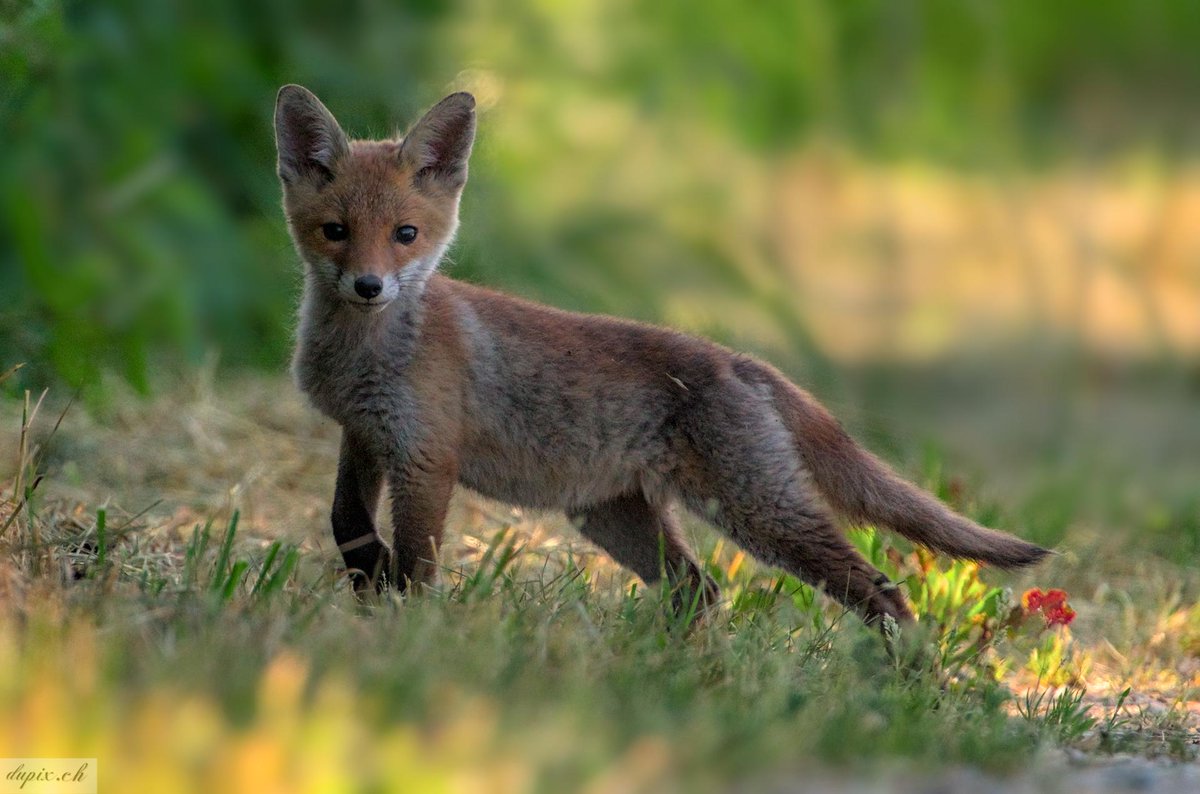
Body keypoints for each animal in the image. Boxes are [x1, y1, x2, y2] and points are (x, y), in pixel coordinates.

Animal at [276, 85, 1046, 633]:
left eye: (405, 234)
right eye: (336, 231)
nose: (369, 286)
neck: (367, 357)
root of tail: (741, 362)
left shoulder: (426, 457)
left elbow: (417, 565)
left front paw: (404, 628)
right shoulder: (366, 435)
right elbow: (346, 524)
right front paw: (369, 581)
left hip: (760, 513)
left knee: (881, 593)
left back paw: (910, 686)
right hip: (617, 518)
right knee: (699, 592)